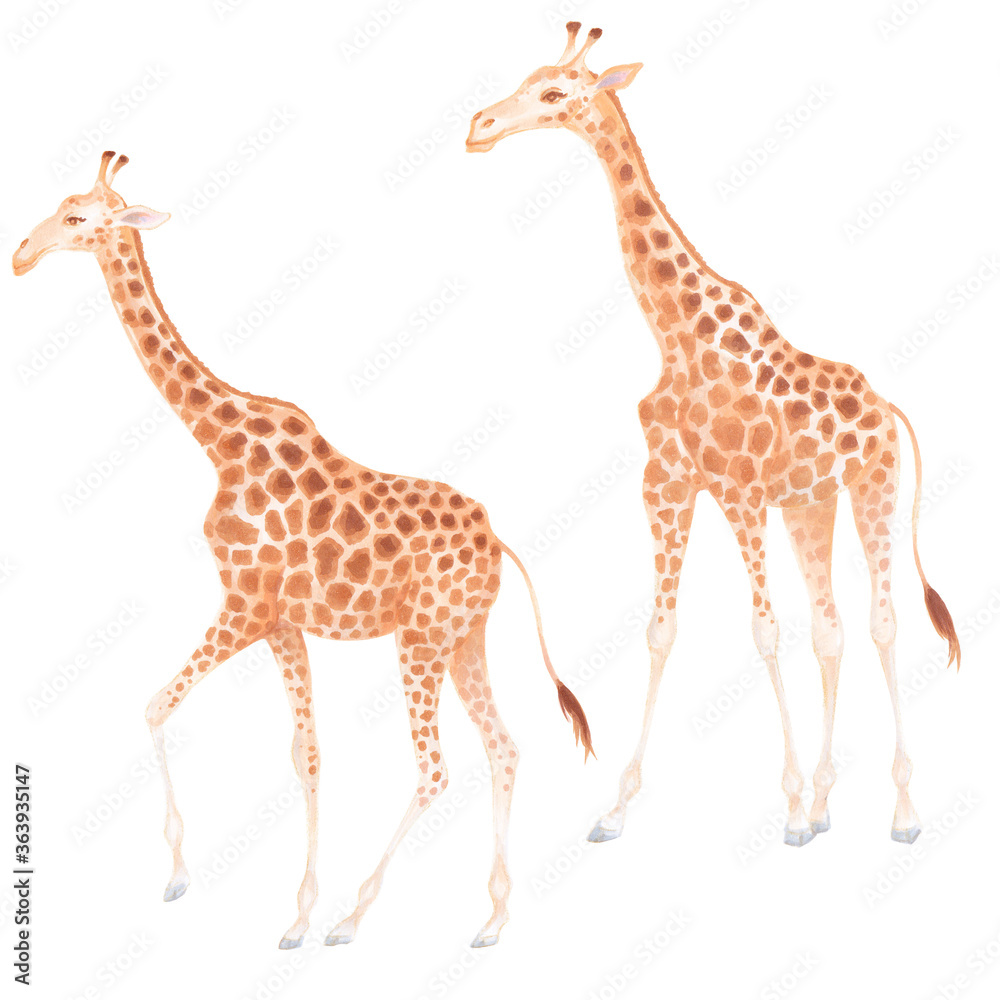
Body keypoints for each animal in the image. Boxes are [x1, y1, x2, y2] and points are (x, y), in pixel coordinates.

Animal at [13, 150, 593, 950]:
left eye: (76, 218)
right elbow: (305, 753)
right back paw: (493, 920)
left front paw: (182, 876)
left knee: (435, 767)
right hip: (464, 634)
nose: (20, 256)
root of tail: (499, 542)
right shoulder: (282, 623)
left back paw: (355, 918)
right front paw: (294, 915)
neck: (219, 444)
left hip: (420, 637)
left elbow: (156, 704)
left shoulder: (245, 605)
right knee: (502, 745)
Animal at [467, 24, 960, 848]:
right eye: (529, 80)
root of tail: (889, 406)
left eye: (556, 93)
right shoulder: (668, 483)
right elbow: (663, 630)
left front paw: (787, 811)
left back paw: (901, 812)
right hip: (811, 503)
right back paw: (827, 804)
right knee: (832, 627)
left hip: (872, 487)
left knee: (883, 621)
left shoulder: (738, 490)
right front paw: (615, 811)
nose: (480, 126)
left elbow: (763, 630)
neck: (674, 334)